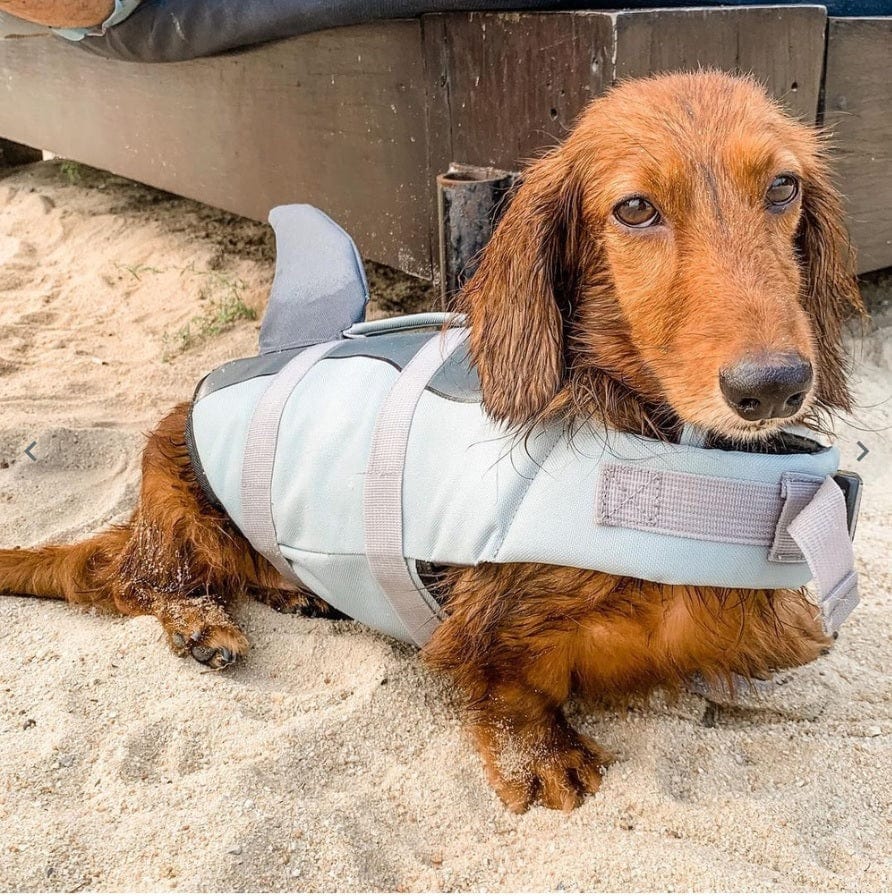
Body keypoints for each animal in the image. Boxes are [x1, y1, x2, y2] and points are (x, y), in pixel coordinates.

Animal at [0, 72, 864, 812]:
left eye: (783, 187)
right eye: (634, 209)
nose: (773, 385)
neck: (669, 447)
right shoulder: (487, 624)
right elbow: (511, 678)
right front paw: (541, 757)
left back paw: (293, 588)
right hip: (186, 518)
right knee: (131, 581)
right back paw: (200, 623)